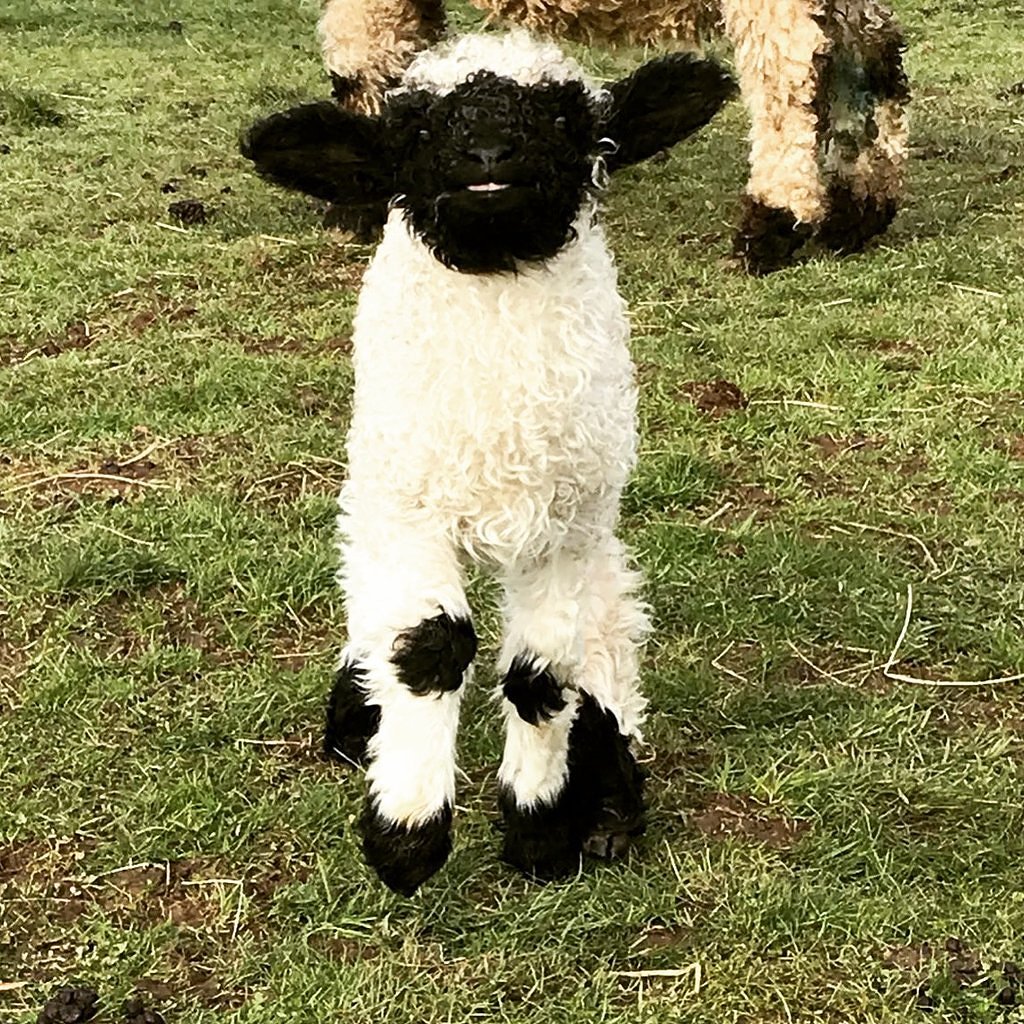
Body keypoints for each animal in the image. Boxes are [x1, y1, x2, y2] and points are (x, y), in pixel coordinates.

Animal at [242, 31, 735, 894]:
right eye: (417, 132)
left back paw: (609, 814)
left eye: (570, 124)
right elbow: (430, 649)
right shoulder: (406, 509)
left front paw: (540, 832)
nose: (489, 156)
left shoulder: (565, 526)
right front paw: (405, 838)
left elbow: (540, 678)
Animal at [317, 0, 910, 274]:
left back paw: (772, 223)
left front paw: (355, 207)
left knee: (788, 74)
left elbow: (361, 63)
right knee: (871, 54)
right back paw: (859, 209)